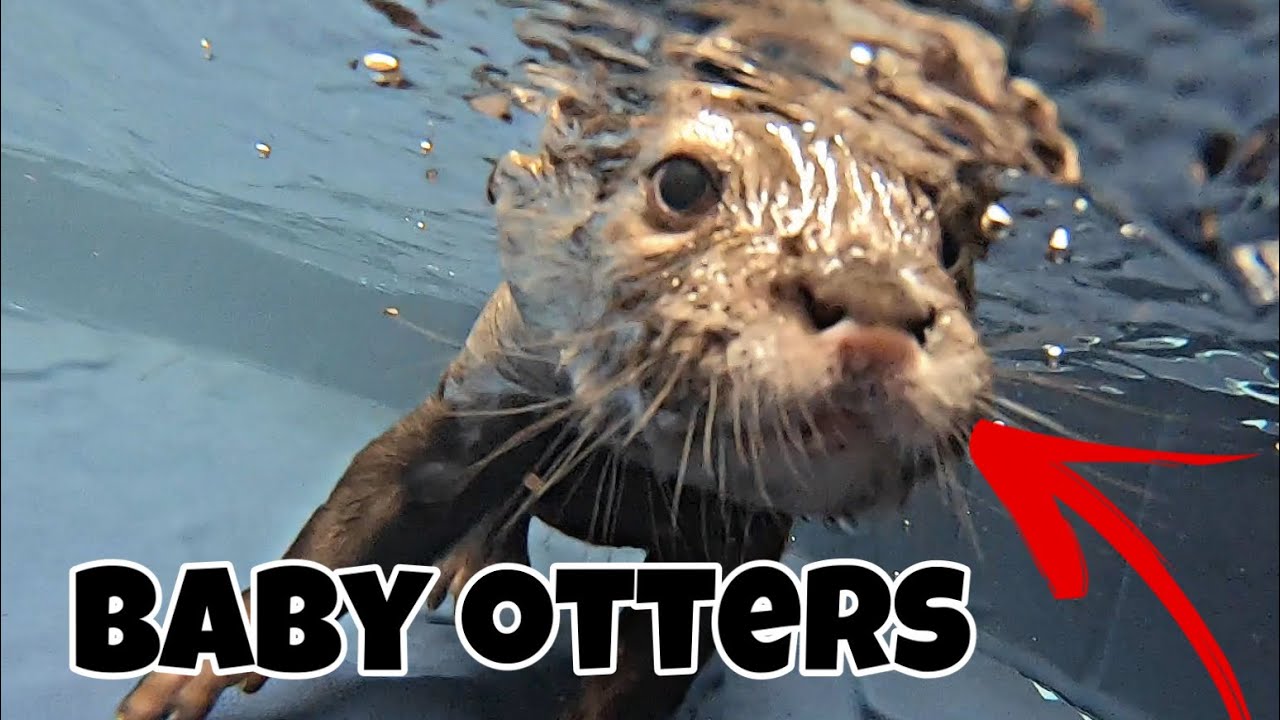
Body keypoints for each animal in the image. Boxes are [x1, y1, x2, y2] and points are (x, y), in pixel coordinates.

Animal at [115, 1, 1082, 719]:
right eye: (683, 182)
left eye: (954, 242)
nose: (876, 299)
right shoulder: (477, 401)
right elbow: (357, 517)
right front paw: (182, 682)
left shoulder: (724, 548)